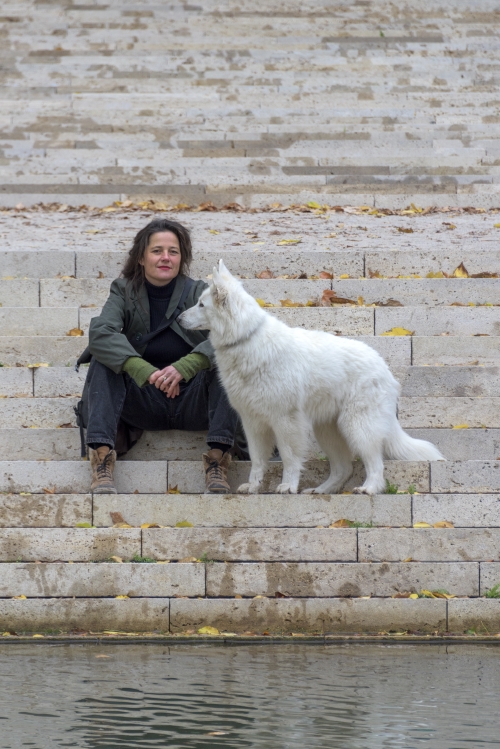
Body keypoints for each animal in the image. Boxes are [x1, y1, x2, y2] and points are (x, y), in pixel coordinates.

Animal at [178, 260, 444, 494]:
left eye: (201, 305)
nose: (179, 318)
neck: (246, 338)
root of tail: (384, 367)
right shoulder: (253, 423)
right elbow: (257, 461)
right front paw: (254, 487)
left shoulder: (285, 421)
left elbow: (289, 458)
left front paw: (288, 486)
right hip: (328, 431)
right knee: (343, 469)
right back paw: (321, 490)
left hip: (358, 427)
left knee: (375, 465)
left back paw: (368, 489)